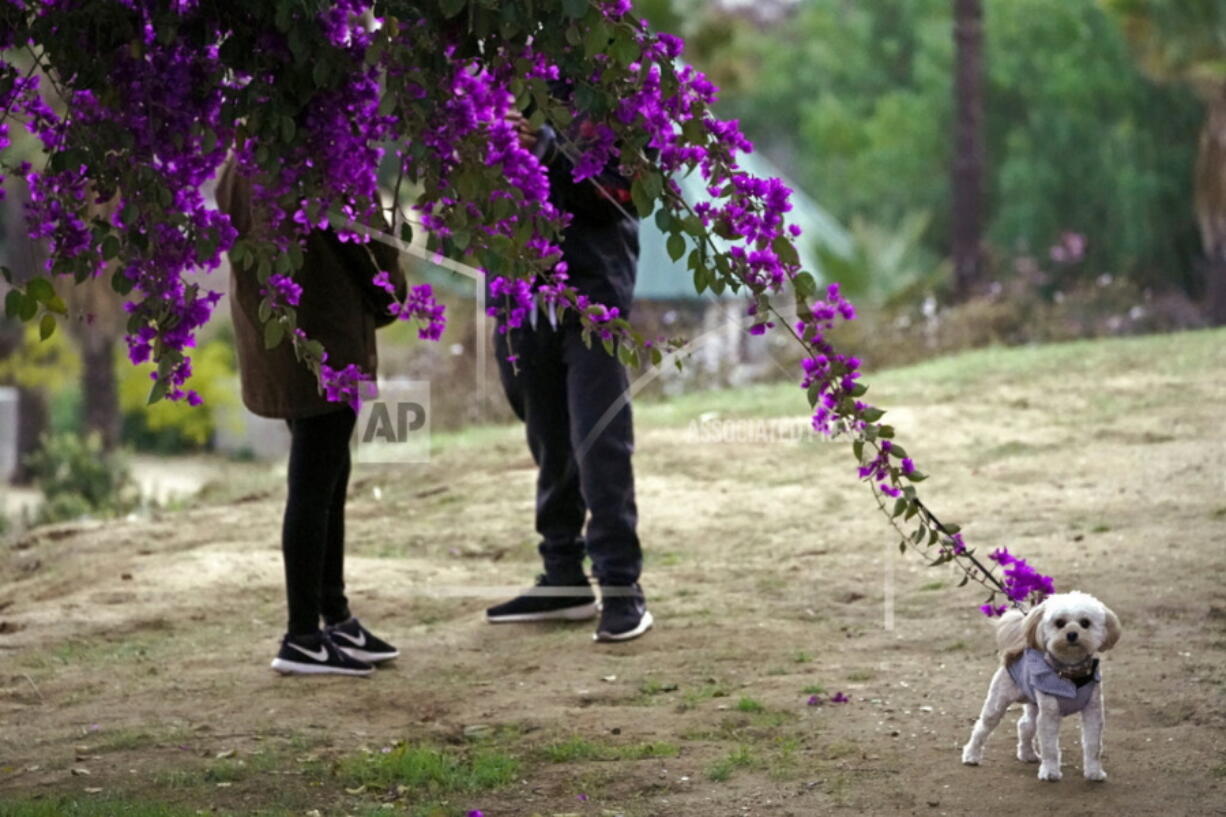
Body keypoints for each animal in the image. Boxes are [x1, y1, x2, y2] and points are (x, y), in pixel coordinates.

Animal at [961, 588, 1123, 780]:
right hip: (998, 700)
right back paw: (971, 755)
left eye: (1085, 623)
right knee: (982, 726)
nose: (1072, 634)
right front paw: (1050, 772)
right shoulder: (1049, 714)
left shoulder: (1093, 711)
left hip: (1034, 704)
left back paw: (1027, 754)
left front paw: (1094, 772)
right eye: (1059, 623)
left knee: (1025, 725)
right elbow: (1050, 747)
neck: (1071, 674)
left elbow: (1093, 745)